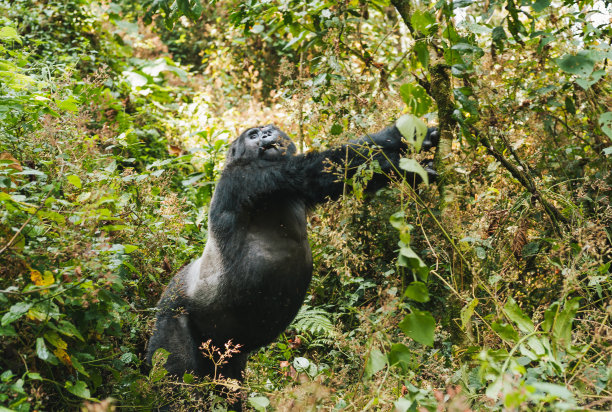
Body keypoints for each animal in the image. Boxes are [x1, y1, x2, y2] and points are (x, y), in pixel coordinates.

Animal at [146, 120, 438, 384]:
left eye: (267, 130)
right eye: (253, 135)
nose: (266, 135)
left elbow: (351, 175)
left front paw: (412, 144)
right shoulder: (245, 176)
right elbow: (323, 169)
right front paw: (403, 149)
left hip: (224, 351)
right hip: (172, 312)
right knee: (173, 378)